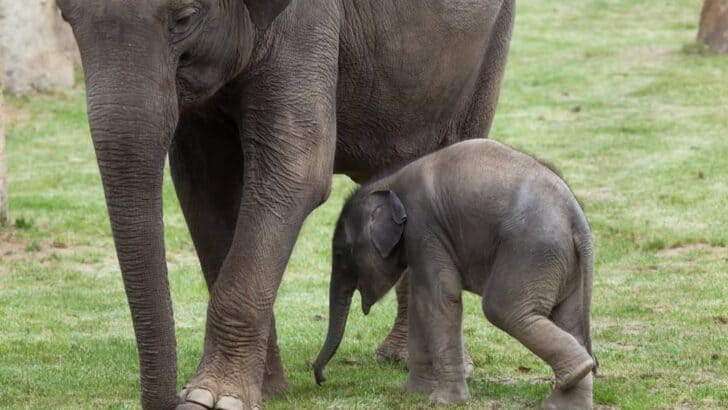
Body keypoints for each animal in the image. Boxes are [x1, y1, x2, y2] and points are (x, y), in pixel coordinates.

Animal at [55, 0, 515, 408]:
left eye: (184, 17)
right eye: (65, 16)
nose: (168, 400)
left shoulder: (308, 20)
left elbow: (296, 169)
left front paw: (211, 398)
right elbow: (204, 183)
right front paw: (261, 391)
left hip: (488, 49)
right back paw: (400, 358)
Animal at [313, 139, 597, 408]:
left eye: (341, 253)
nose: (321, 378)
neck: (389, 182)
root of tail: (577, 217)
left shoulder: (424, 229)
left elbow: (438, 298)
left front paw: (444, 401)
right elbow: (421, 302)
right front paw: (414, 393)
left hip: (532, 250)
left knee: (503, 309)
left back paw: (578, 371)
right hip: (561, 262)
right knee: (568, 318)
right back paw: (566, 402)